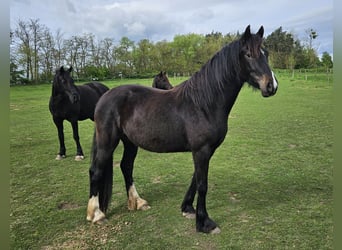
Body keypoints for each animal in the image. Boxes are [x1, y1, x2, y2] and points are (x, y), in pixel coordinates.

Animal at [86, 25, 278, 232]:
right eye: (248, 54)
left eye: (266, 53)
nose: (271, 85)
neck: (204, 104)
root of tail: (104, 97)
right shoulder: (201, 150)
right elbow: (202, 184)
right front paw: (204, 222)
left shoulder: (206, 150)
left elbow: (195, 179)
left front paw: (187, 208)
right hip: (107, 141)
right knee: (96, 171)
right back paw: (96, 214)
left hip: (129, 142)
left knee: (126, 166)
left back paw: (138, 202)